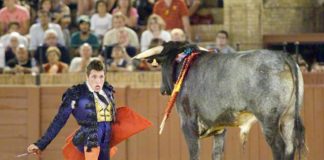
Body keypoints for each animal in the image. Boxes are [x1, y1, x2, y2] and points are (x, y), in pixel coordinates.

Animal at [133, 42, 306, 159]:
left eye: (161, 65)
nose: (162, 89)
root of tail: (282, 56)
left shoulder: (188, 123)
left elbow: (194, 152)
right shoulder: (220, 128)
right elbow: (216, 153)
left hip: (269, 119)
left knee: (279, 146)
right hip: (289, 117)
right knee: (290, 146)